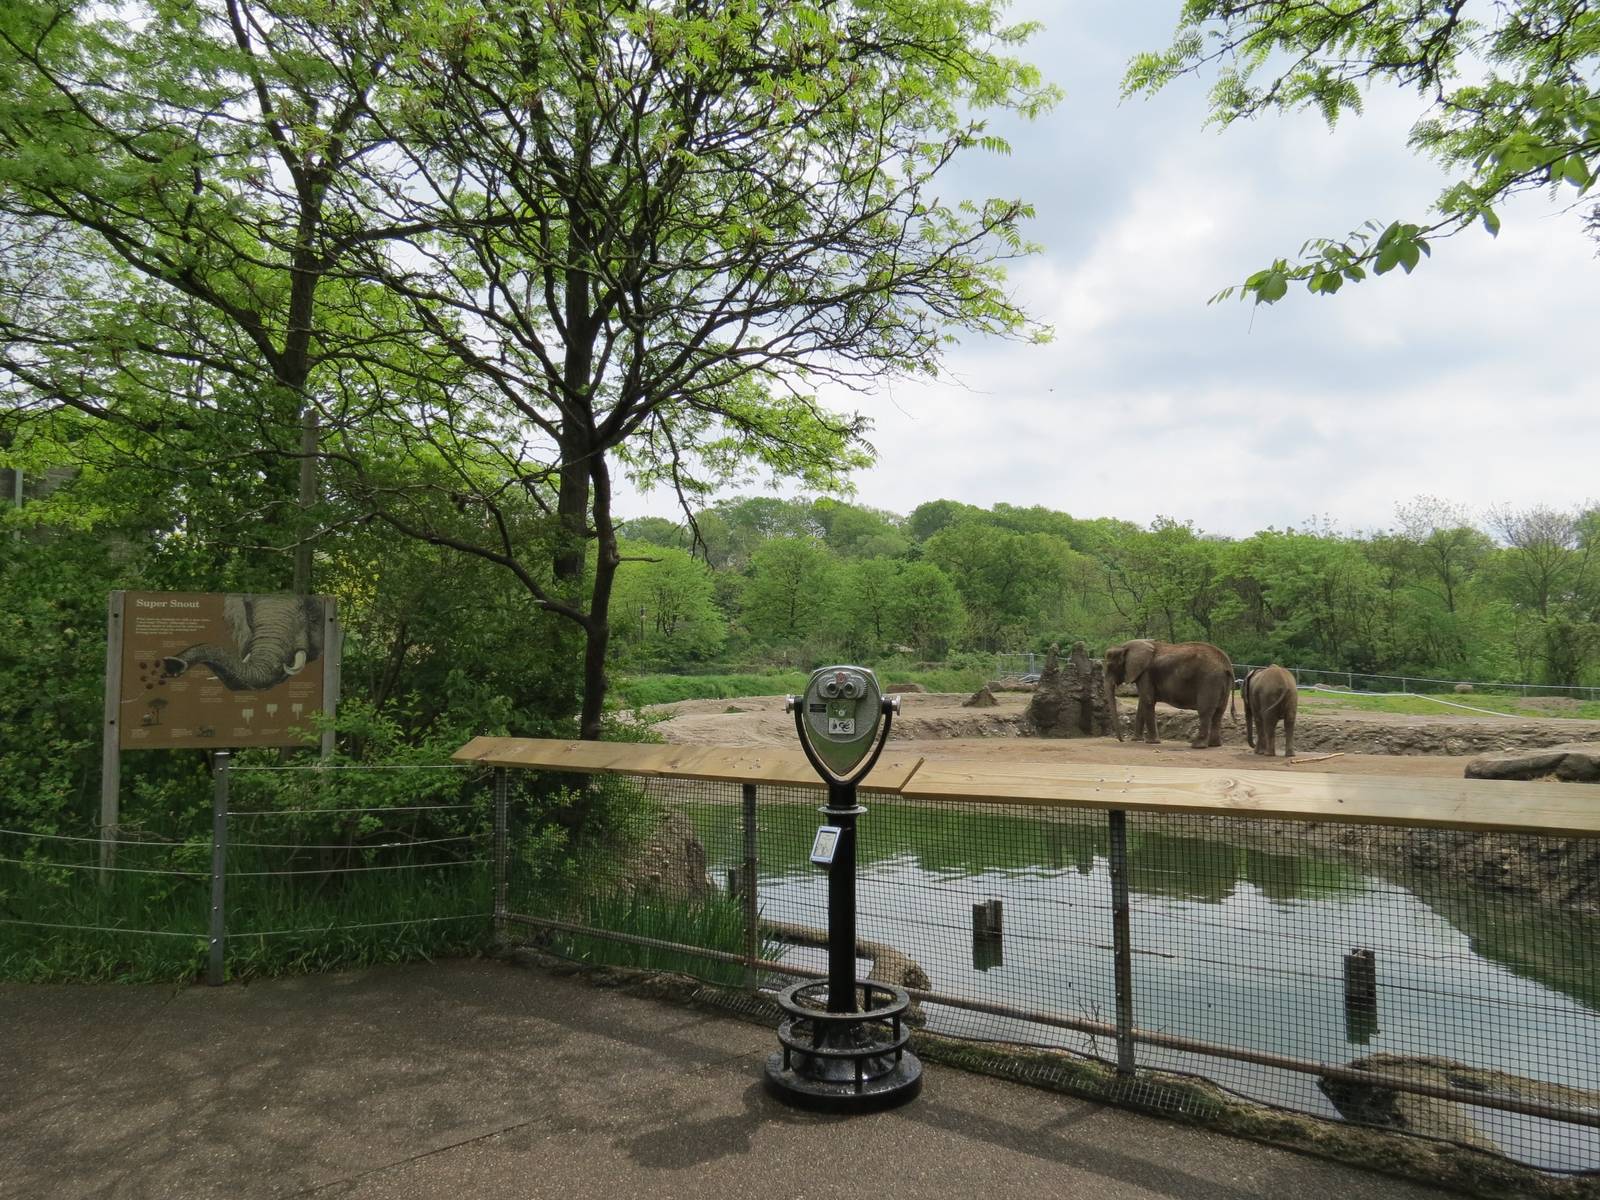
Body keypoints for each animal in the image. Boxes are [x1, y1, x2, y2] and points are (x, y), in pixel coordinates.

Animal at [1103, 639, 1235, 748]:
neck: (1123, 646)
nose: (1122, 740)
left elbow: (1147, 700)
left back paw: (1197, 746)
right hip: (1221, 682)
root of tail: (1227, 665)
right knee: (1219, 712)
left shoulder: (1146, 673)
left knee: (1205, 711)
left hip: (1209, 680)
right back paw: (1214, 745)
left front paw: (1152, 742)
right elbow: (1142, 702)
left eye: (1110, 666)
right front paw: (1136, 740)